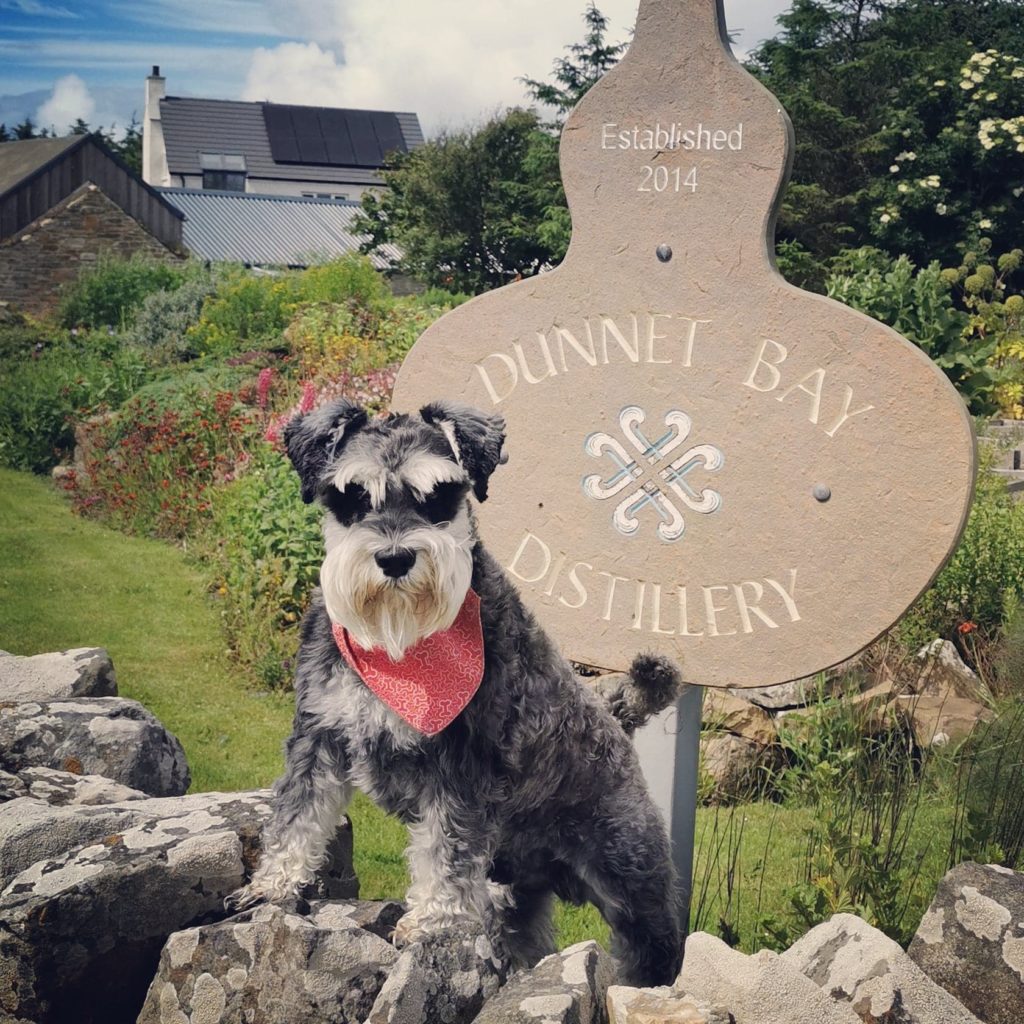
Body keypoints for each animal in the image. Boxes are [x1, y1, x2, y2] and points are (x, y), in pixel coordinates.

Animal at [236, 397, 688, 983]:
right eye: (352, 497)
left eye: (439, 497)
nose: (395, 558)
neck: (399, 651)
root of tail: (614, 714)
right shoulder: (319, 735)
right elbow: (298, 813)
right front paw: (272, 885)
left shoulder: (461, 768)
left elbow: (444, 849)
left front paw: (434, 921)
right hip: (517, 890)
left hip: (629, 870)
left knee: (655, 942)